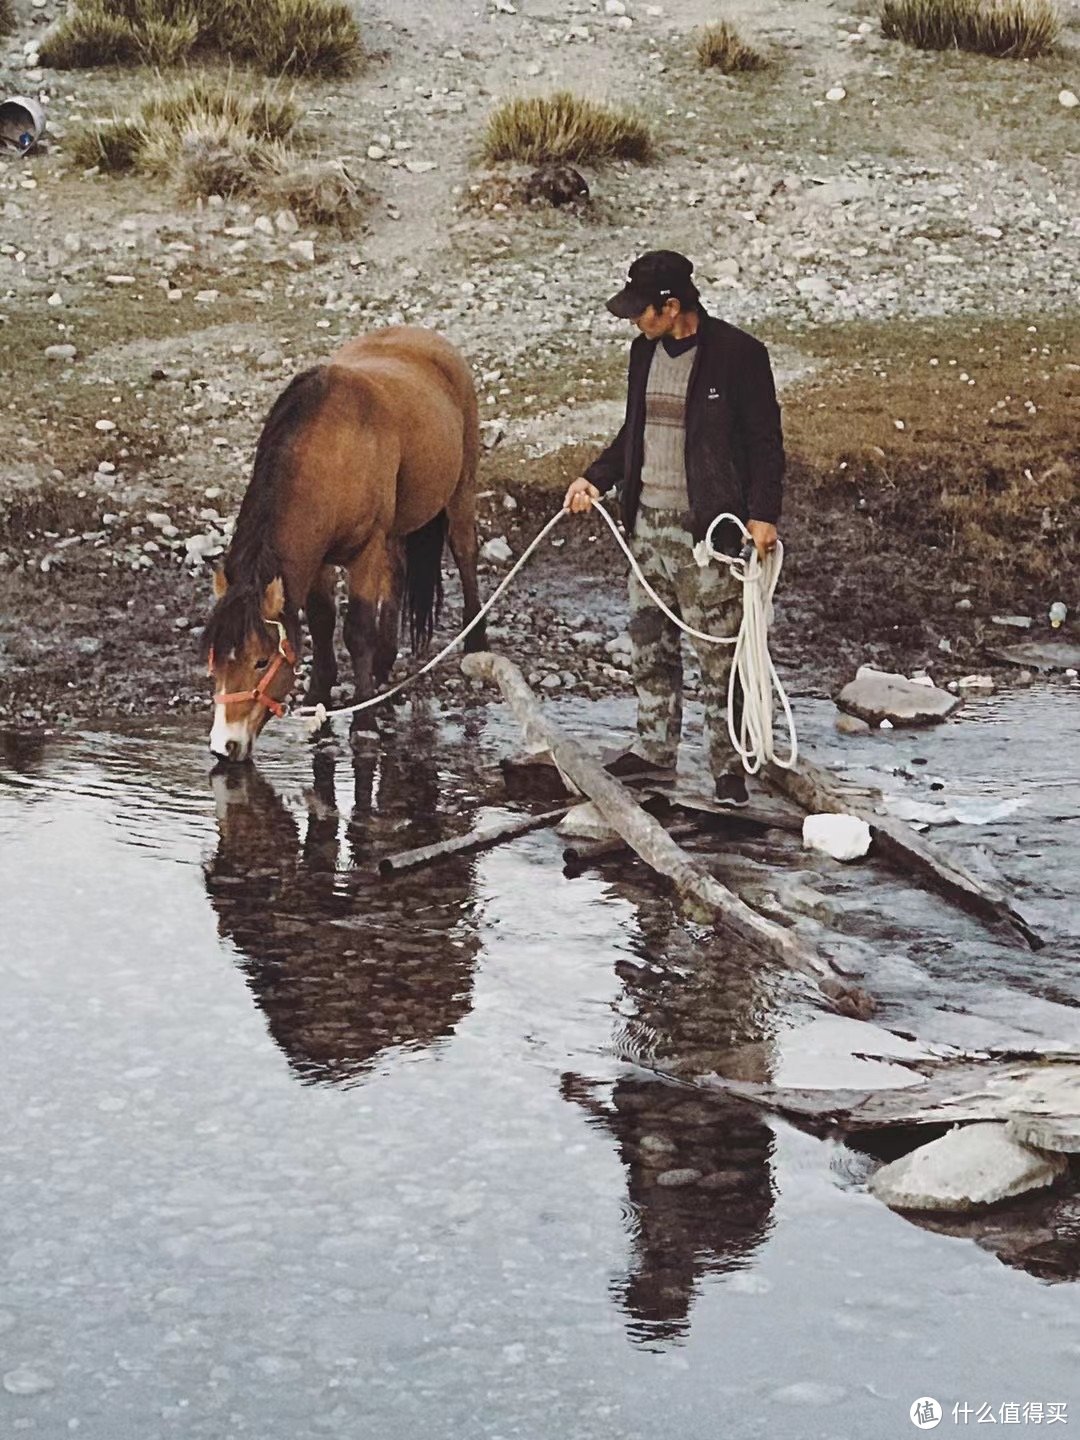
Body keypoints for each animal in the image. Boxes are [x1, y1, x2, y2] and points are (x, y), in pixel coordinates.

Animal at [201, 321, 486, 760]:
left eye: (261, 662)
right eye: (215, 662)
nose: (224, 746)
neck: (330, 454)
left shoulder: (365, 550)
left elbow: (356, 630)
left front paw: (363, 722)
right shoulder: (318, 557)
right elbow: (321, 622)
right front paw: (317, 698)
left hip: (459, 492)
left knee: (465, 553)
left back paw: (475, 646)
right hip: (398, 527)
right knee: (398, 572)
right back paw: (385, 664)